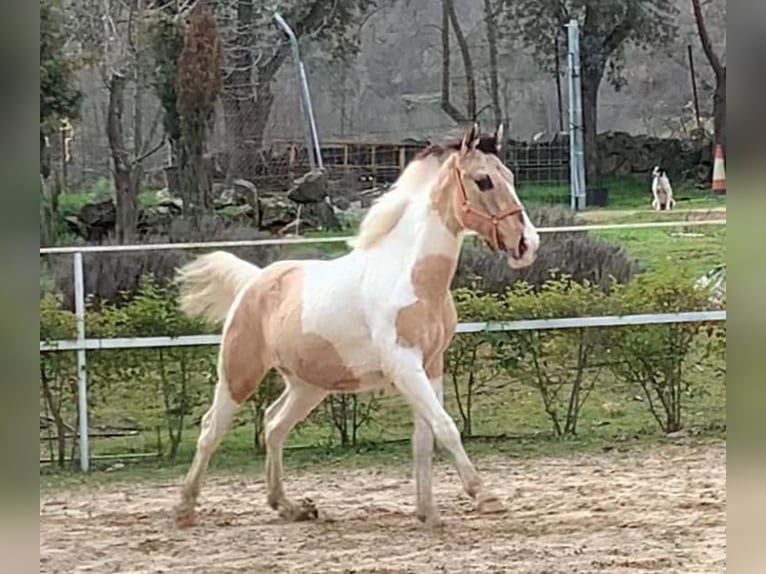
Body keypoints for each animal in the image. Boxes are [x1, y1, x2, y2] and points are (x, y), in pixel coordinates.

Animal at [173, 125, 540, 532]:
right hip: (239, 374)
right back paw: (185, 509)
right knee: (211, 428)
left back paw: (291, 507)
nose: (527, 244)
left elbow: (424, 438)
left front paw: (427, 512)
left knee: (273, 424)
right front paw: (485, 498)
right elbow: (446, 427)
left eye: (510, 176)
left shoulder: (431, 365)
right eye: (483, 180)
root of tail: (253, 281)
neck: (410, 275)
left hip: (308, 385)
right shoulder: (404, 366)